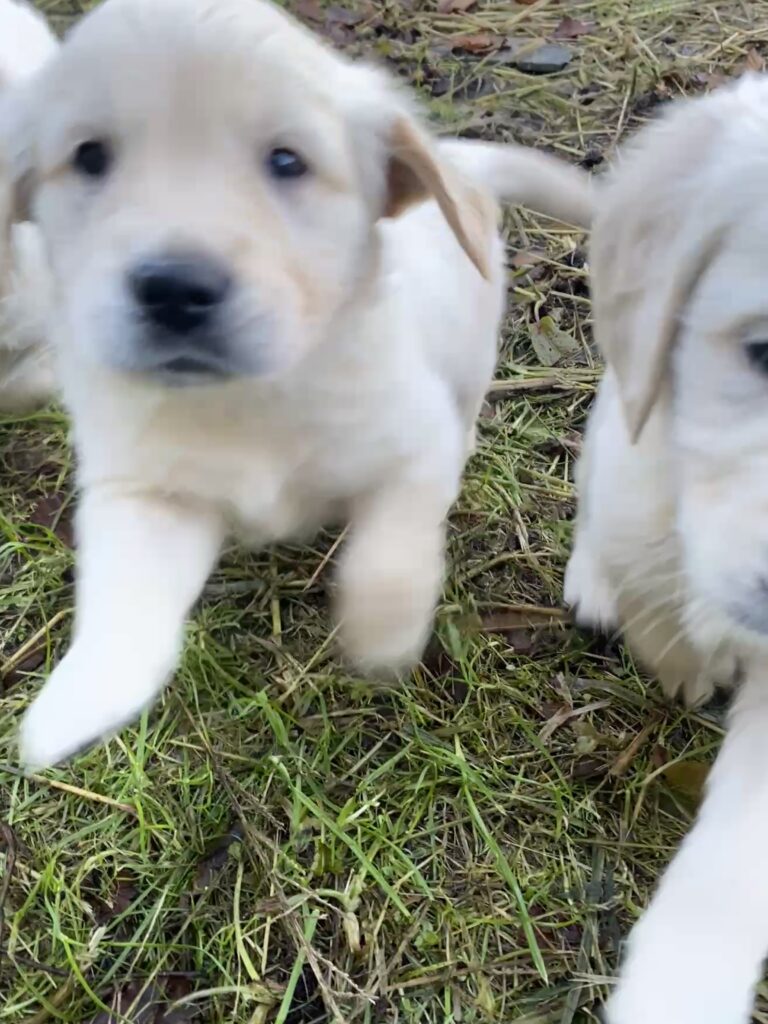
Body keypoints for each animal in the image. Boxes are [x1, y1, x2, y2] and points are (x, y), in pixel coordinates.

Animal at [0, 0, 593, 770]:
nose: (174, 289)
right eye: (90, 157)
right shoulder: (145, 493)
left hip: (471, 352)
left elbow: (392, 548)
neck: (251, 395)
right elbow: (124, 598)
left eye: (287, 162)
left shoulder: (413, 446)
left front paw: (382, 634)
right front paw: (75, 702)